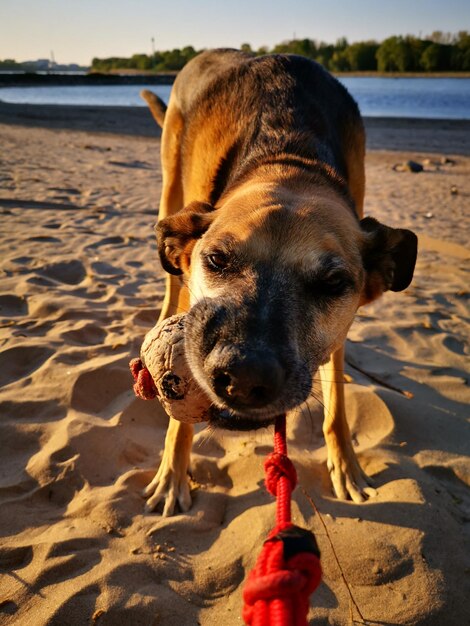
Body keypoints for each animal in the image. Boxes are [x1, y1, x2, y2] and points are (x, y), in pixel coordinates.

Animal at [140, 51, 418, 516]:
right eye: (216, 259)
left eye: (333, 282)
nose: (243, 377)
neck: (291, 162)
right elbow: (180, 422)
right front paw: (172, 472)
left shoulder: (338, 334)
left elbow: (337, 409)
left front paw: (347, 466)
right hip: (170, 186)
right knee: (171, 283)